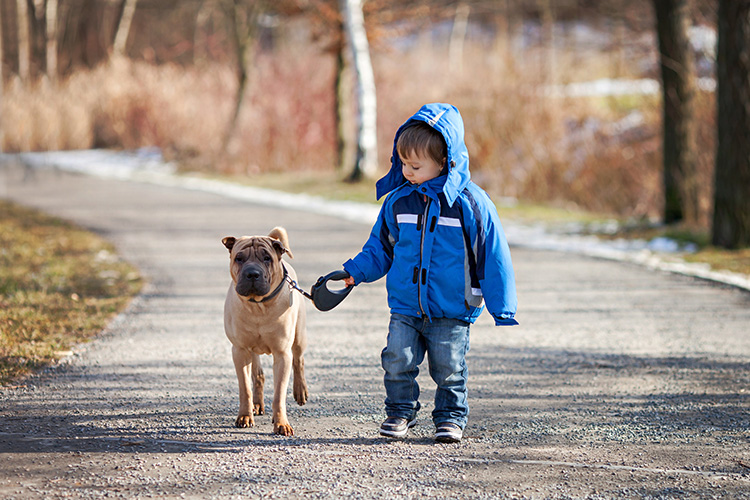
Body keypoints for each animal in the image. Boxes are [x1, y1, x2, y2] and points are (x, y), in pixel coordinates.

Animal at [220, 229, 308, 436]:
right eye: (239, 258)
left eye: (267, 258)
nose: (252, 273)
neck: (258, 306)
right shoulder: (240, 351)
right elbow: (245, 388)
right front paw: (245, 416)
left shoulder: (282, 354)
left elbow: (279, 394)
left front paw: (282, 423)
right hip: (252, 351)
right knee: (258, 375)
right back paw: (257, 405)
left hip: (299, 336)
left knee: (298, 360)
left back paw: (300, 391)